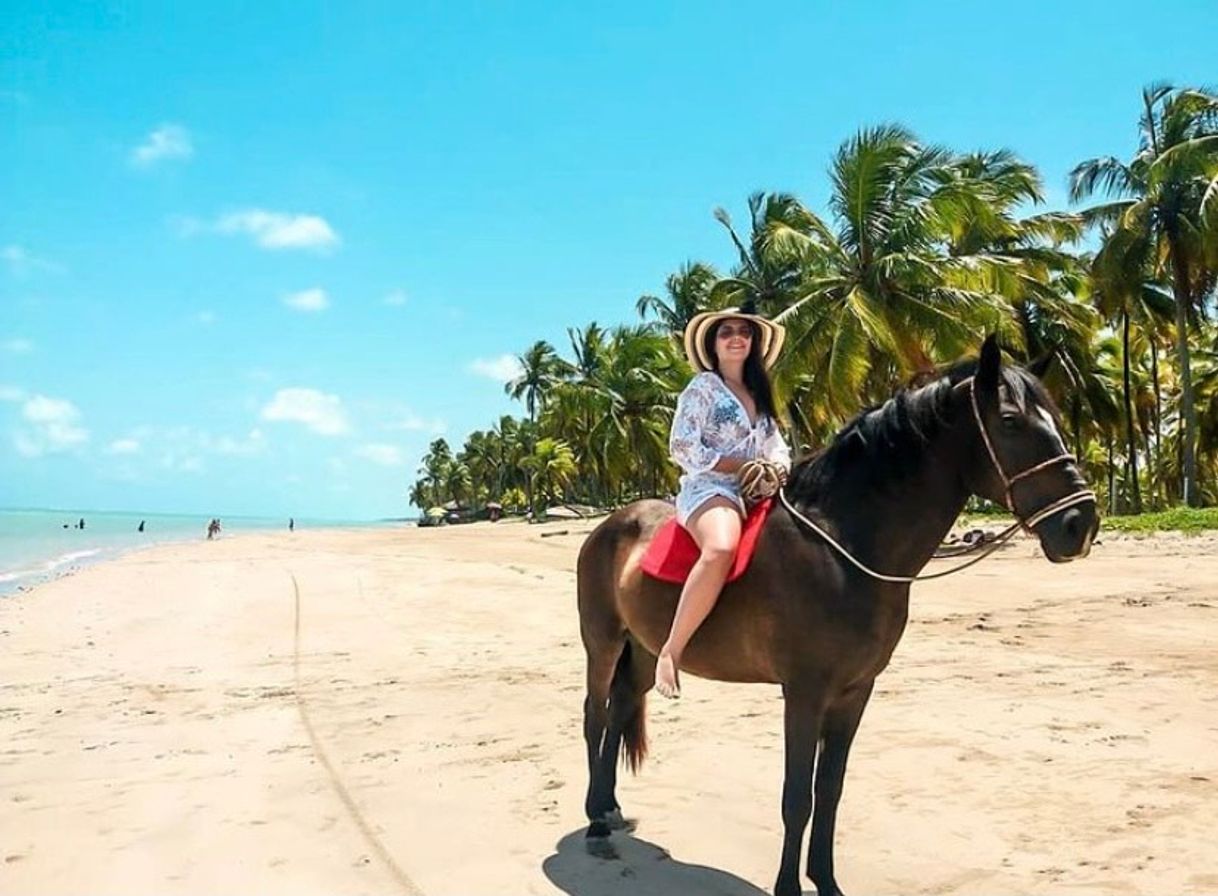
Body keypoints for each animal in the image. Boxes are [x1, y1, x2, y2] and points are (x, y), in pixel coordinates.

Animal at [574, 338, 1101, 895]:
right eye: (1010, 421)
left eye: (1056, 417)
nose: (1081, 523)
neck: (843, 545)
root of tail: (611, 524)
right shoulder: (804, 693)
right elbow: (796, 797)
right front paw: (788, 887)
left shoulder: (855, 692)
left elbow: (829, 791)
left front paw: (826, 881)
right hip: (603, 644)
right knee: (596, 715)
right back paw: (594, 822)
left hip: (645, 651)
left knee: (621, 707)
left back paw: (608, 807)